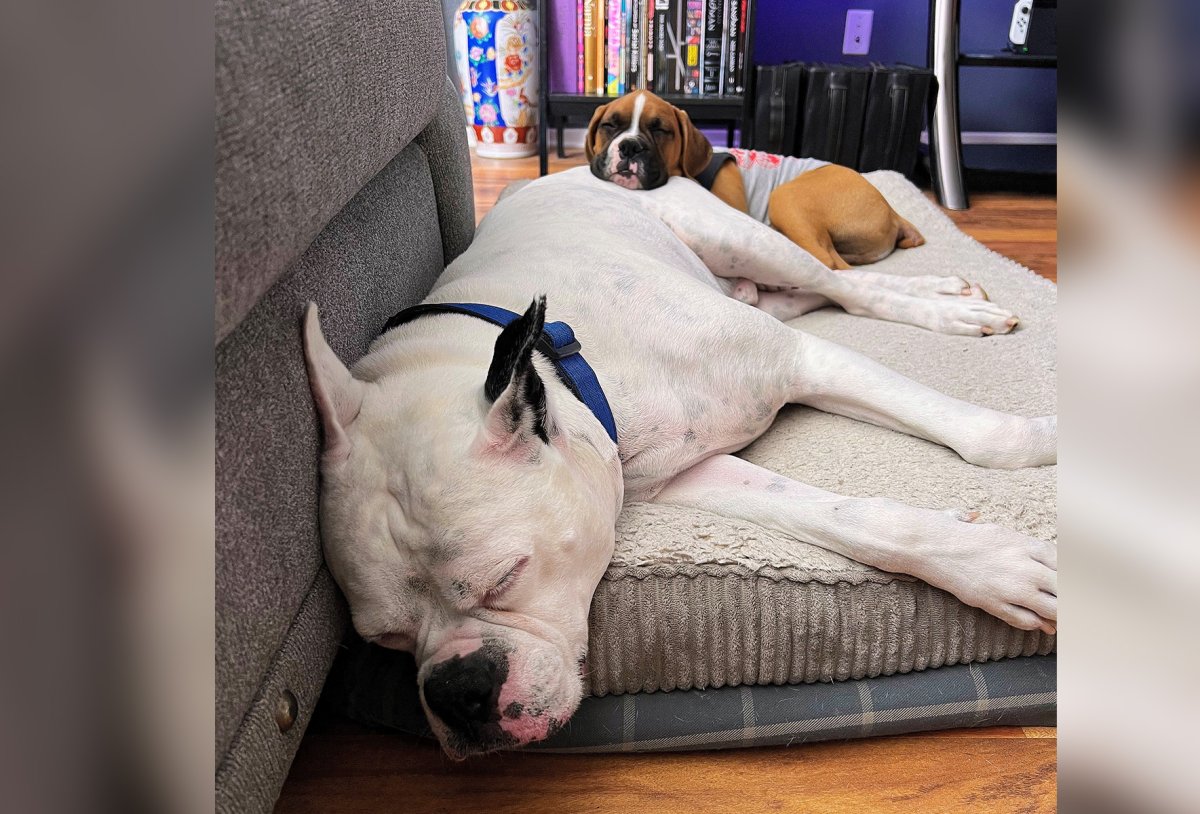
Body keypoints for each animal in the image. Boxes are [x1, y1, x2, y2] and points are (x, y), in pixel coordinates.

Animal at [304, 157, 1056, 758]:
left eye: (504, 578)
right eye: (387, 640)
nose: (457, 690)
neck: (571, 359)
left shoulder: (798, 359)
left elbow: (980, 435)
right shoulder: (684, 473)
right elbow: (855, 520)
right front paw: (990, 566)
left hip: (739, 237)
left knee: (842, 282)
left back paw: (945, 305)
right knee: (807, 292)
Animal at [585, 90, 931, 271]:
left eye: (660, 130)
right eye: (609, 126)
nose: (630, 147)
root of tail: (893, 214)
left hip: (786, 198)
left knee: (828, 263)